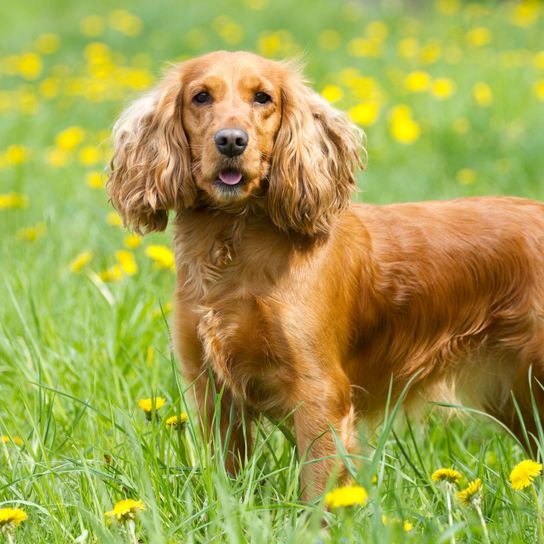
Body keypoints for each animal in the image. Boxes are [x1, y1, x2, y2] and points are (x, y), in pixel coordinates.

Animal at [107, 51, 544, 502]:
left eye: (262, 97)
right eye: (200, 96)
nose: (230, 140)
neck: (234, 244)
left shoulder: (319, 392)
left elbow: (319, 490)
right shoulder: (213, 390)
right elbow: (228, 478)